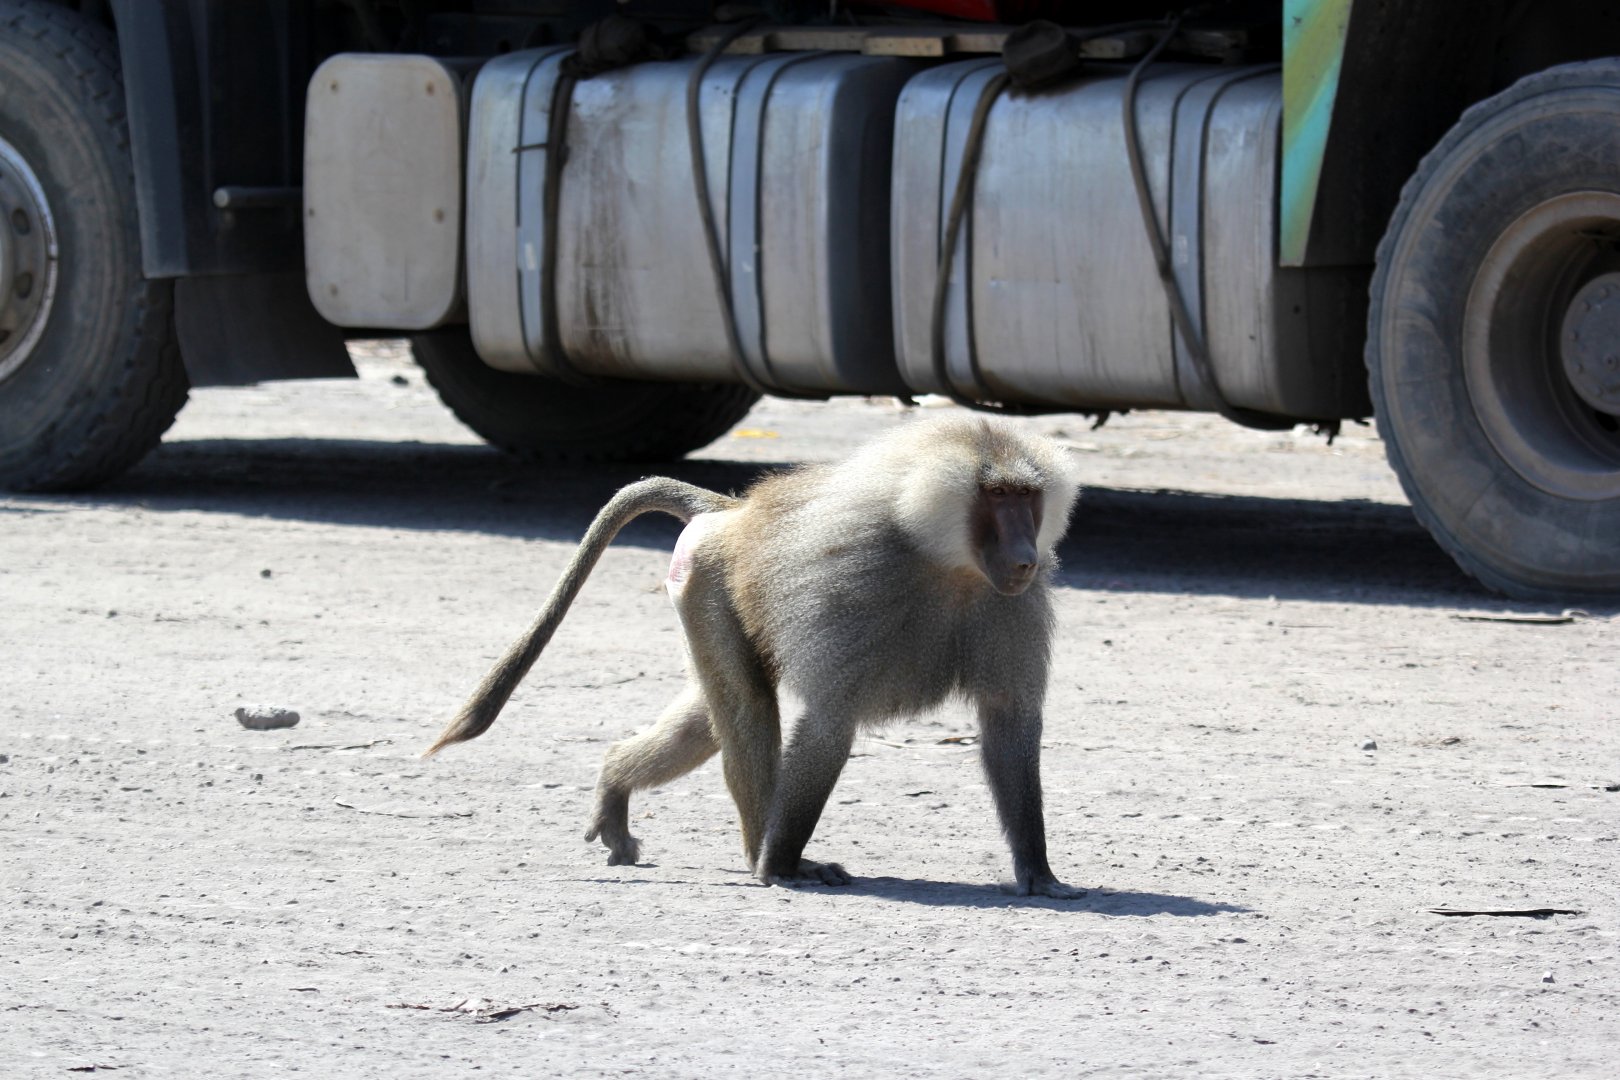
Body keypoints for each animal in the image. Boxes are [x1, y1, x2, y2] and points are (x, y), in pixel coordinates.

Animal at [424, 414, 1084, 897]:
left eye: (1027, 497)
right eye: (995, 496)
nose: (1025, 559)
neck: (946, 560)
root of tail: (734, 513)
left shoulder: (1009, 606)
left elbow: (1008, 722)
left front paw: (1040, 874)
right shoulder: (859, 591)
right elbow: (827, 722)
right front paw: (782, 867)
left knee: (704, 722)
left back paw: (615, 788)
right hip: (705, 582)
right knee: (747, 710)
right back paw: (759, 854)